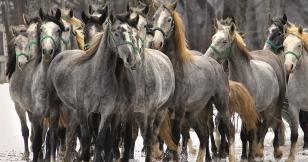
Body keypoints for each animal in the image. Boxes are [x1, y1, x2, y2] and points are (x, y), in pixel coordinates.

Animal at [150, 1, 235, 161]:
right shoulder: (166, 112)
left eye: (169, 19)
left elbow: (175, 140)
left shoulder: (179, 111)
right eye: (154, 17)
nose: (157, 43)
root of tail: (217, 65)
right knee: (203, 136)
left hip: (221, 105)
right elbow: (166, 140)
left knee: (230, 130)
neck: (175, 70)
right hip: (195, 113)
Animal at [205, 18, 286, 161]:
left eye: (224, 41)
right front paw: (241, 155)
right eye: (213, 38)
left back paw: (264, 151)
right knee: (261, 128)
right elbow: (231, 130)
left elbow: (248, 134)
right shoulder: (230, 109)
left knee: (269, 126)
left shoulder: (247, 110)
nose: (207, 56)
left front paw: (250, 155)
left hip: (272, 107)